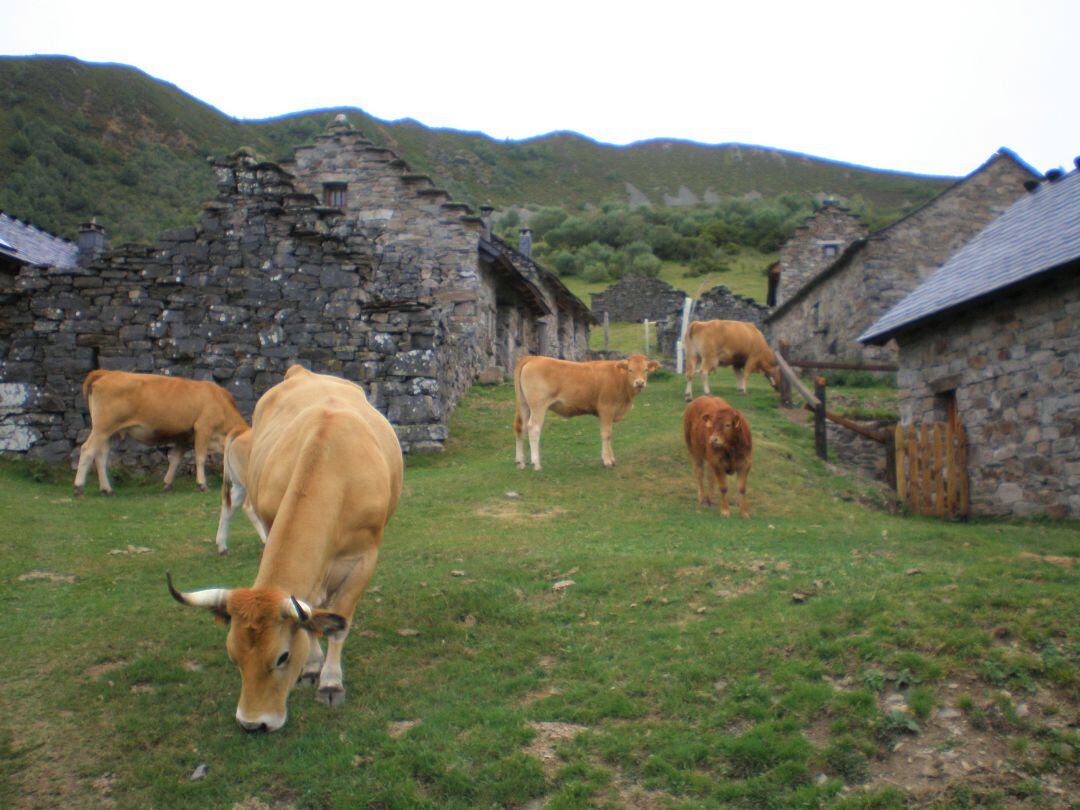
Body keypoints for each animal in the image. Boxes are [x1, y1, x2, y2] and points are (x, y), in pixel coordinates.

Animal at [74, 371, 247, 498]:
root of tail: (107, 373)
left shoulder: (184, 436)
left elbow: (175, 459)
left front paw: (167, 484)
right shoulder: (203, 428)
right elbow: (200, 458)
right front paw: (202, 484)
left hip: (108, 432)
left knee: (101, 456)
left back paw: (107, 489)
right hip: (102, 428)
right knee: (87, 450)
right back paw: (79, 487)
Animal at [212, 427, 267, 557]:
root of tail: (242, 430)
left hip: (239, 485)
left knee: (229, 505)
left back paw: (222, 546)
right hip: (251, 484)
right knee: (249, 507)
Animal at [511, 354, 656, 473]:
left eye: (646, 370)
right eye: (630, 370)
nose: (640, 383)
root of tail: (533, 358)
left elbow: (609, 434)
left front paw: (612, 459)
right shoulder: (606, 408)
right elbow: (606, 434)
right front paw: (607, 461)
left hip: (524, 405)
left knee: (520, 428)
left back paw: (520, 462)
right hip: (538, 405)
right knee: (533, 428)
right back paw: (536, 463)